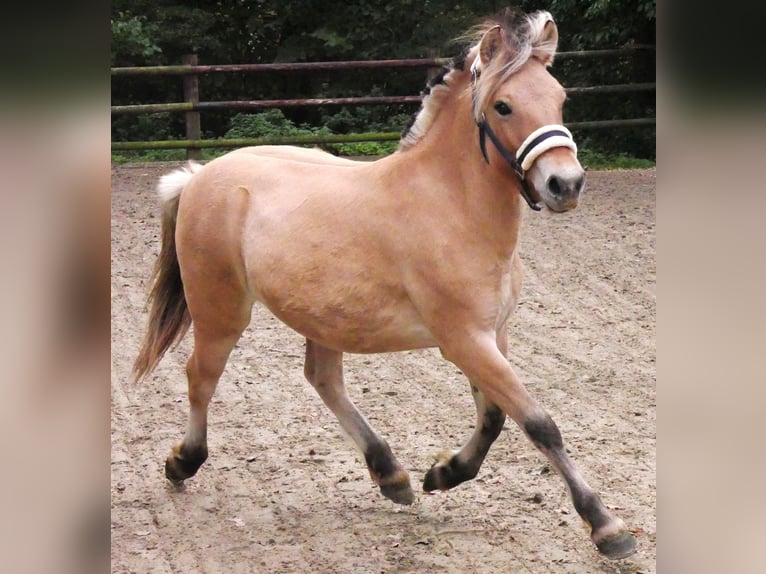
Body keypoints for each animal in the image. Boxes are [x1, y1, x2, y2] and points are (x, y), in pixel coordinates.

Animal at [133, 8, 637, 560]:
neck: (451, 206)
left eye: (560, 97)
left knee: (323, 379)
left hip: (322, 317)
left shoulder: (491, 337)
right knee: (201, 375)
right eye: (503, 105)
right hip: (221, 309)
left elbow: (495, 418)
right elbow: (538, 423)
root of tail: (199, 175)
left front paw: (443, 473)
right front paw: (606, 526)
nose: (565, 185)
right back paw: (183, 461)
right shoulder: (465, 340)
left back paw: (391, 475)